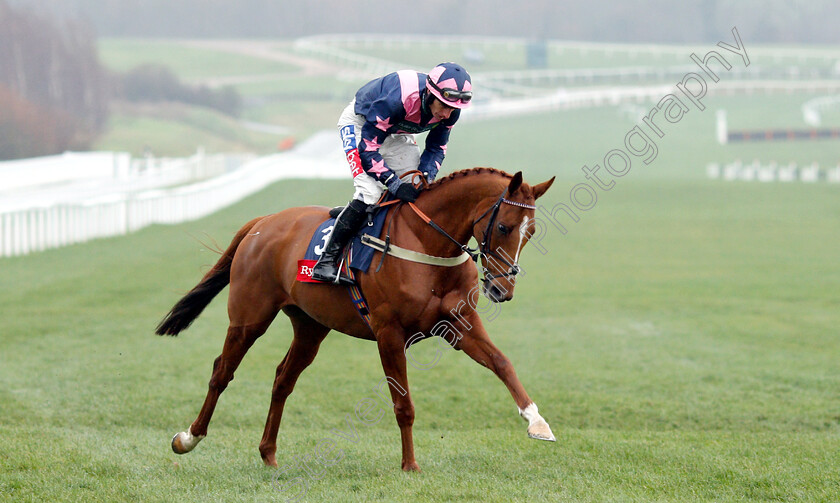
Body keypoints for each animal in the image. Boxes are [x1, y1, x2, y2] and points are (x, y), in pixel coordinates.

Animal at [155, 168, 556, 472]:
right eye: (504, 227)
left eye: (532, 231)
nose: (502, 289)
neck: (426, 246)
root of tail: (263, 221)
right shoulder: (389, 333)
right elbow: (403, 404)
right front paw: (410, 465)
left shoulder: (460, 326)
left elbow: (502, 363)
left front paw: (538, 422)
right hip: (249, 317)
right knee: (222, 371)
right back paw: (188, 438)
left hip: (310, 326)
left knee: (283, 379)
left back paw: (268, 454)